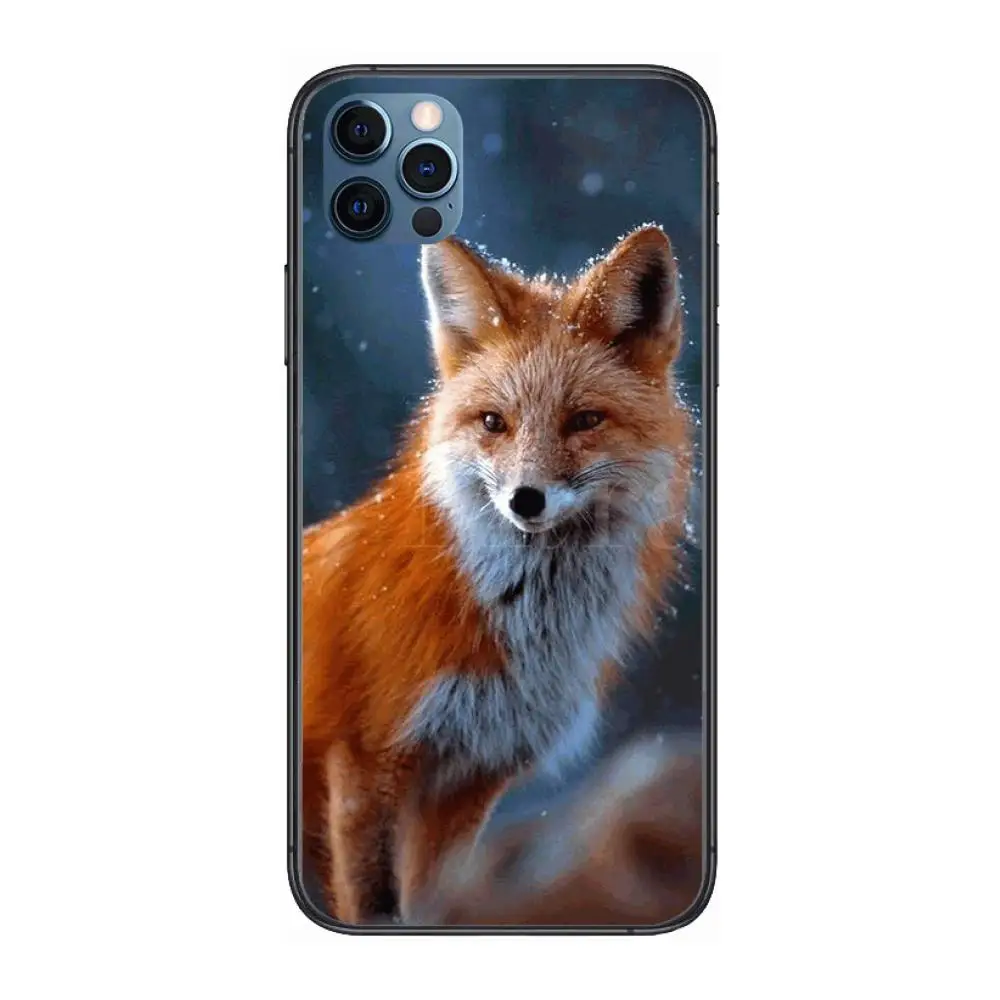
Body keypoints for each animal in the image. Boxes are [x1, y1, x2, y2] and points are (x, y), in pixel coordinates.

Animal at [301, 224, 693, 925]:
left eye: (584, 420)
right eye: (493, 423)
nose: (525, 500)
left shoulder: (471, 779)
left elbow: (435, 906)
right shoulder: (366, 762)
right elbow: (377, 907)